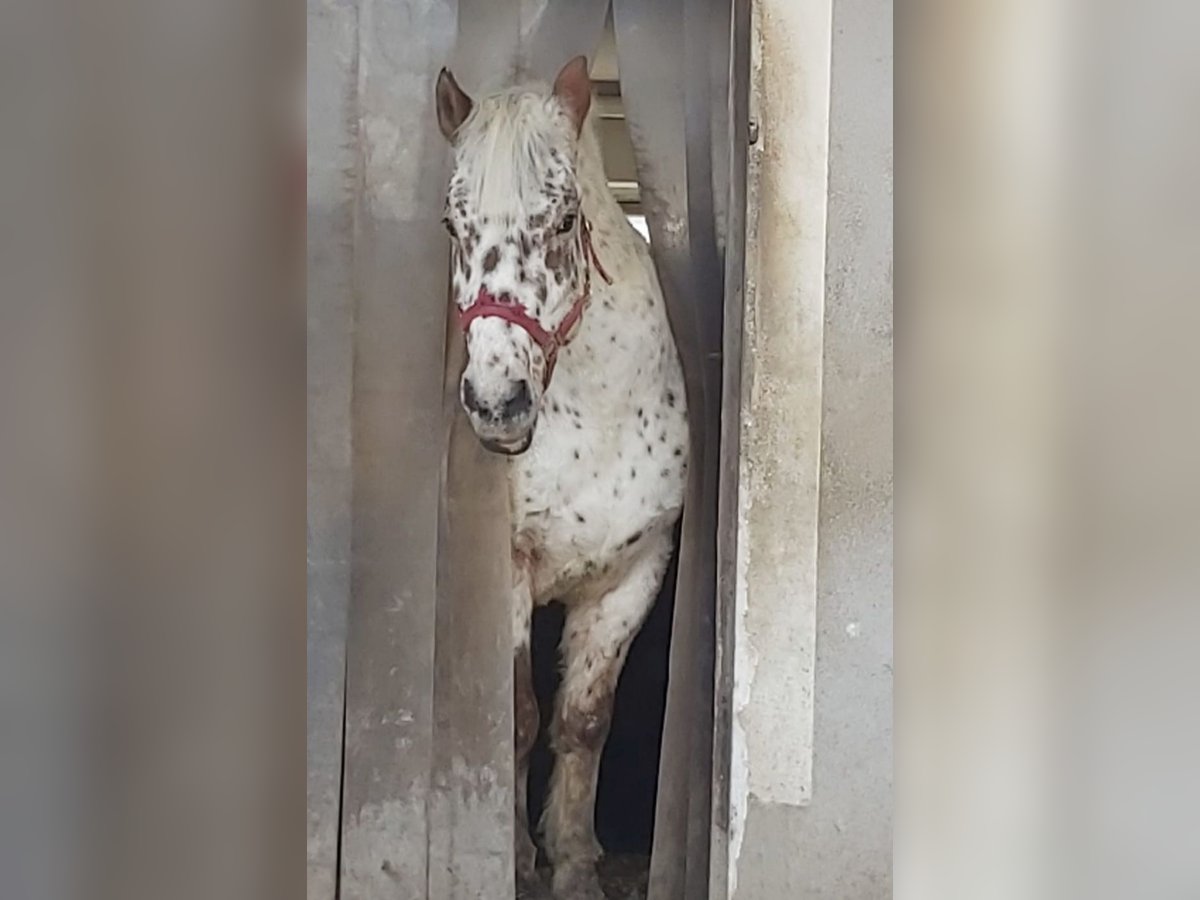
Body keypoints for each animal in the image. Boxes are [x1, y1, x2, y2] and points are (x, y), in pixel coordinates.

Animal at [436, 58, 691, 900]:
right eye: (453, 227)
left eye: (563, 219)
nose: (498, 403)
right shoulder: (510, 572)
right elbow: (516, 718)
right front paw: (517, 860)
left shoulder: (633, 573)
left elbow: (583, 720)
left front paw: (576, 861)